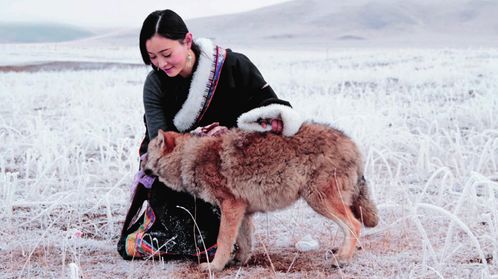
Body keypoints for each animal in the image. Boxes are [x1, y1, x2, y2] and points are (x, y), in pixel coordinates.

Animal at [142, 123, 380, 272]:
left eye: (146, 153)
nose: (140, 162)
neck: (189, 158)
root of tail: (352, 145)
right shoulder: (242, 211)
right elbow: (243, 242)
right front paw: (239, 261)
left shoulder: (231, 205)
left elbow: (224, 240)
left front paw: (215, 267)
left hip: (319, 200)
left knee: (354, 225)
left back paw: (342, 259)